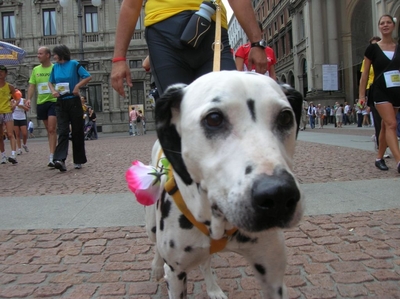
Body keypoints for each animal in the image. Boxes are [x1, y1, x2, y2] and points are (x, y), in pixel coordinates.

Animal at [145, 71, 304, 299]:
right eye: (214, 118)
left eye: (285, 117)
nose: (278, 195)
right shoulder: (176, 275)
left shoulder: (273, 277)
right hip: (151, 226)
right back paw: (157, 266)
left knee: (205, 262)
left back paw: (213, 288)